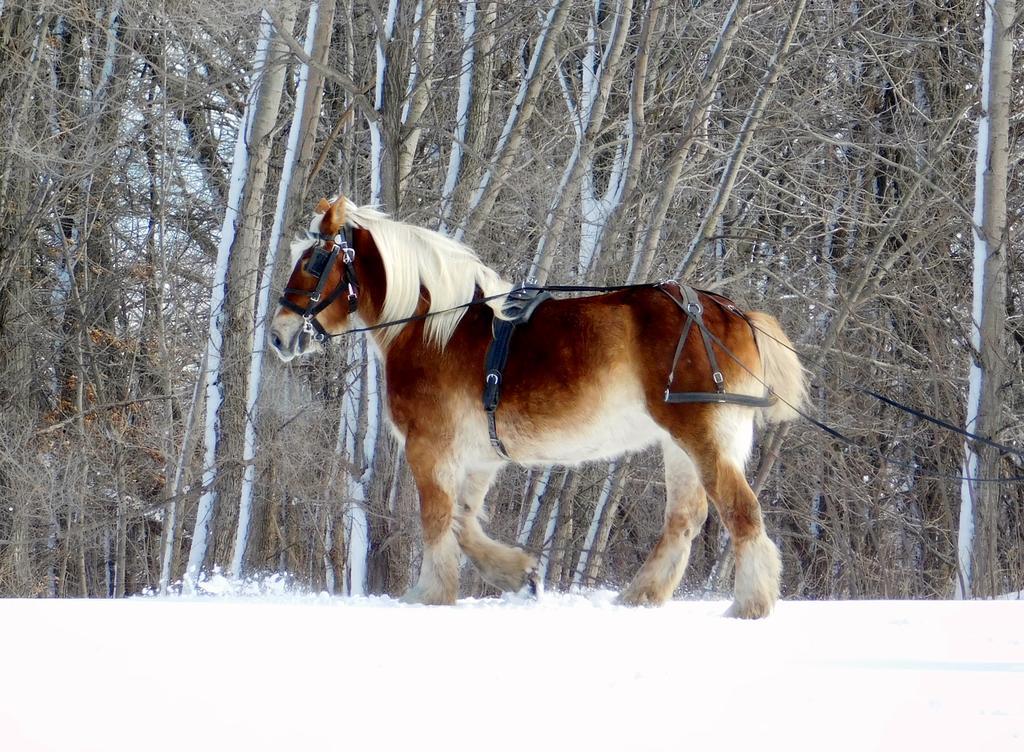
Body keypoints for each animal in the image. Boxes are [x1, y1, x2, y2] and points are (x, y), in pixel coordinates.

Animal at [272, 194, 806, 618]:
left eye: (314, 263)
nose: (279, 334)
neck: (435, 328)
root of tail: (729, 311)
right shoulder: (479, 457)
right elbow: (464, 523)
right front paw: (519, 574)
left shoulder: (430, 448)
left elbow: (438, 519)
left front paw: (428, 593)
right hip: (681, 443)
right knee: (685, 519)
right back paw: (641, 596)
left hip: (702, 435)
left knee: (740, 511)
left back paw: (750, 604)